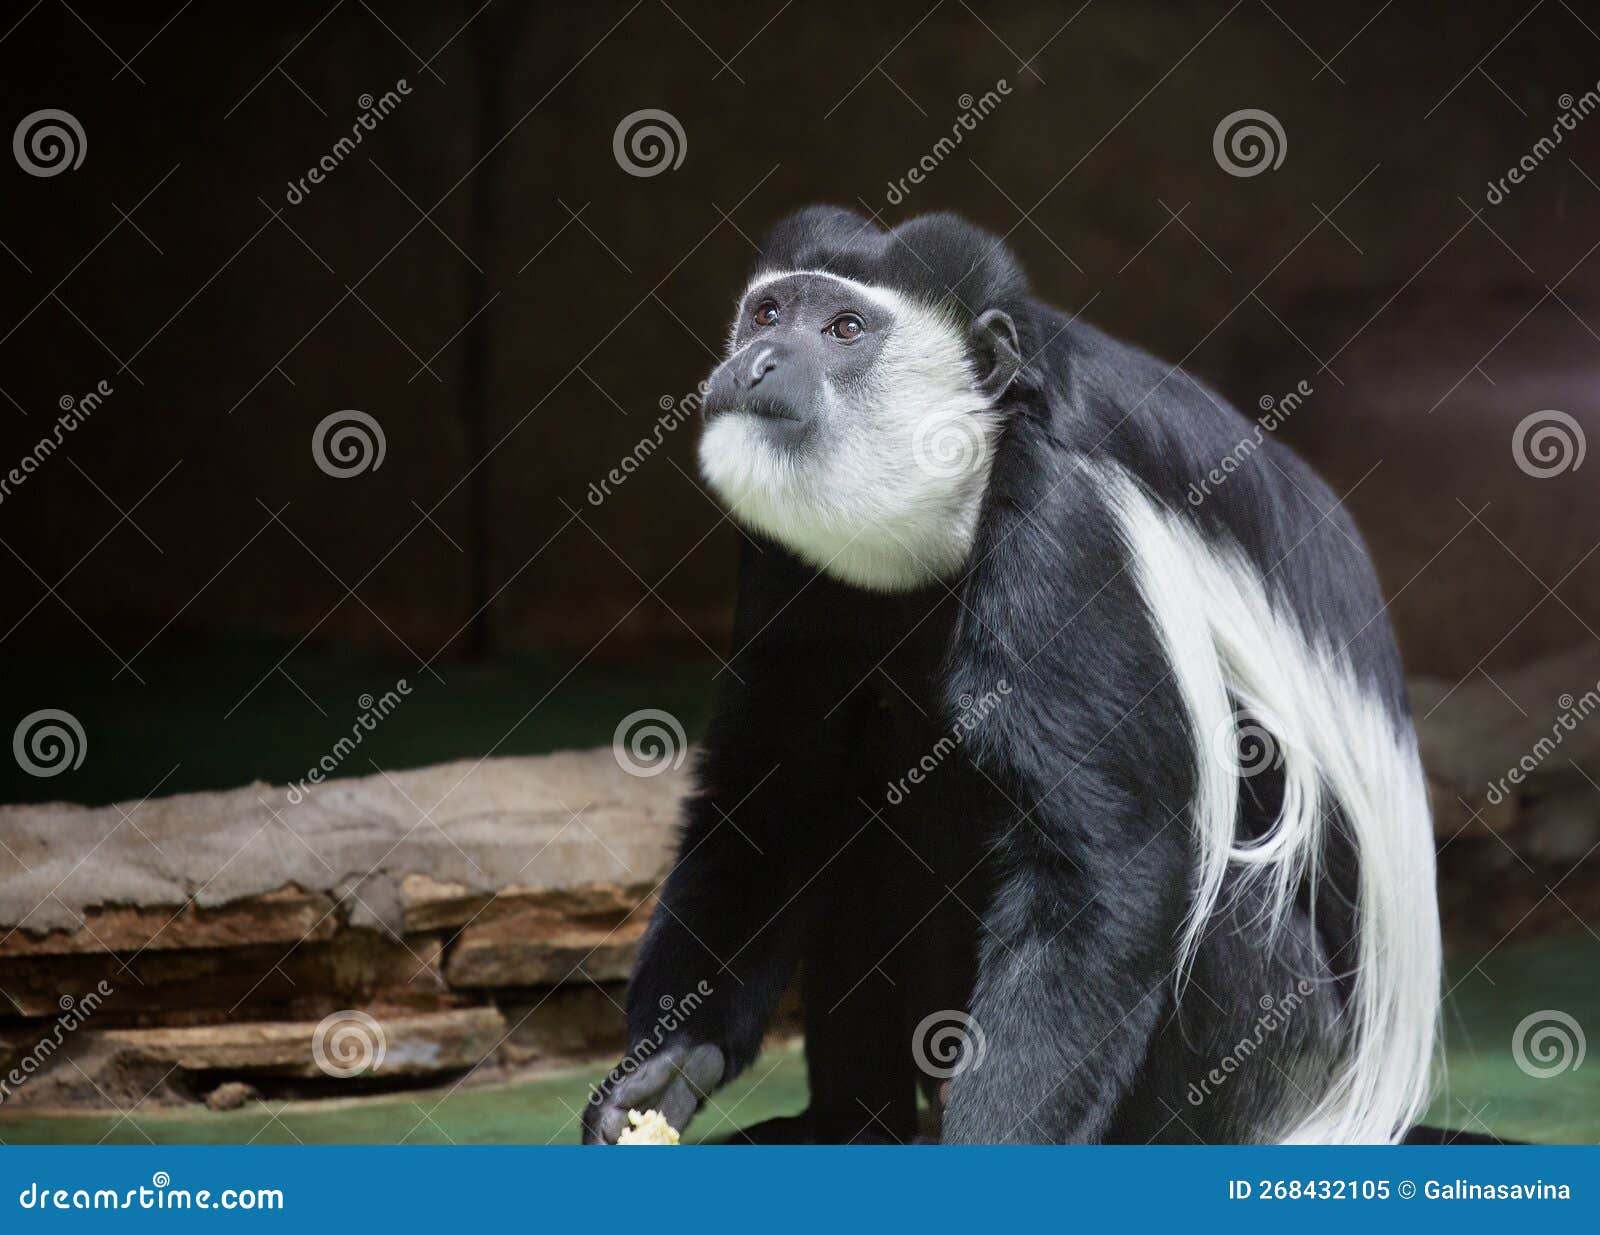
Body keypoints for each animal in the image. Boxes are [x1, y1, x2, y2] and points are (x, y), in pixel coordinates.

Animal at [582, 207, 1446, 1145]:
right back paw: (844, 1121)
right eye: (768, 314)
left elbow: (1102, 869)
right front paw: (668, 1068)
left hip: (1291, 1045)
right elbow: (777, 792)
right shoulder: (785, 549)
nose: (759, 360)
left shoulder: (1065, 521)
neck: (971, 456)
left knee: (1222, 906)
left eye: (844, 329)